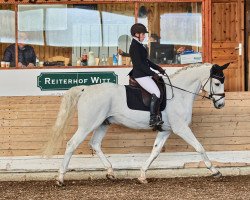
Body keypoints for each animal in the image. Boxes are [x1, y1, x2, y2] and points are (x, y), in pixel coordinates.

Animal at [43, 63, 229, 186]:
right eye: (217, 83)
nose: (221, 105)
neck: (179, 94)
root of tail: (85, 89)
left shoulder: (165, 130)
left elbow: (155, 151)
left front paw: (142, 175)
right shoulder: (181, 128)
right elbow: (199, 147)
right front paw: (215, 171)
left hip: (103, 123)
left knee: (95, 144)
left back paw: (110, 172)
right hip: (88, 125)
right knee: (72, 144)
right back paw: (60, 178)